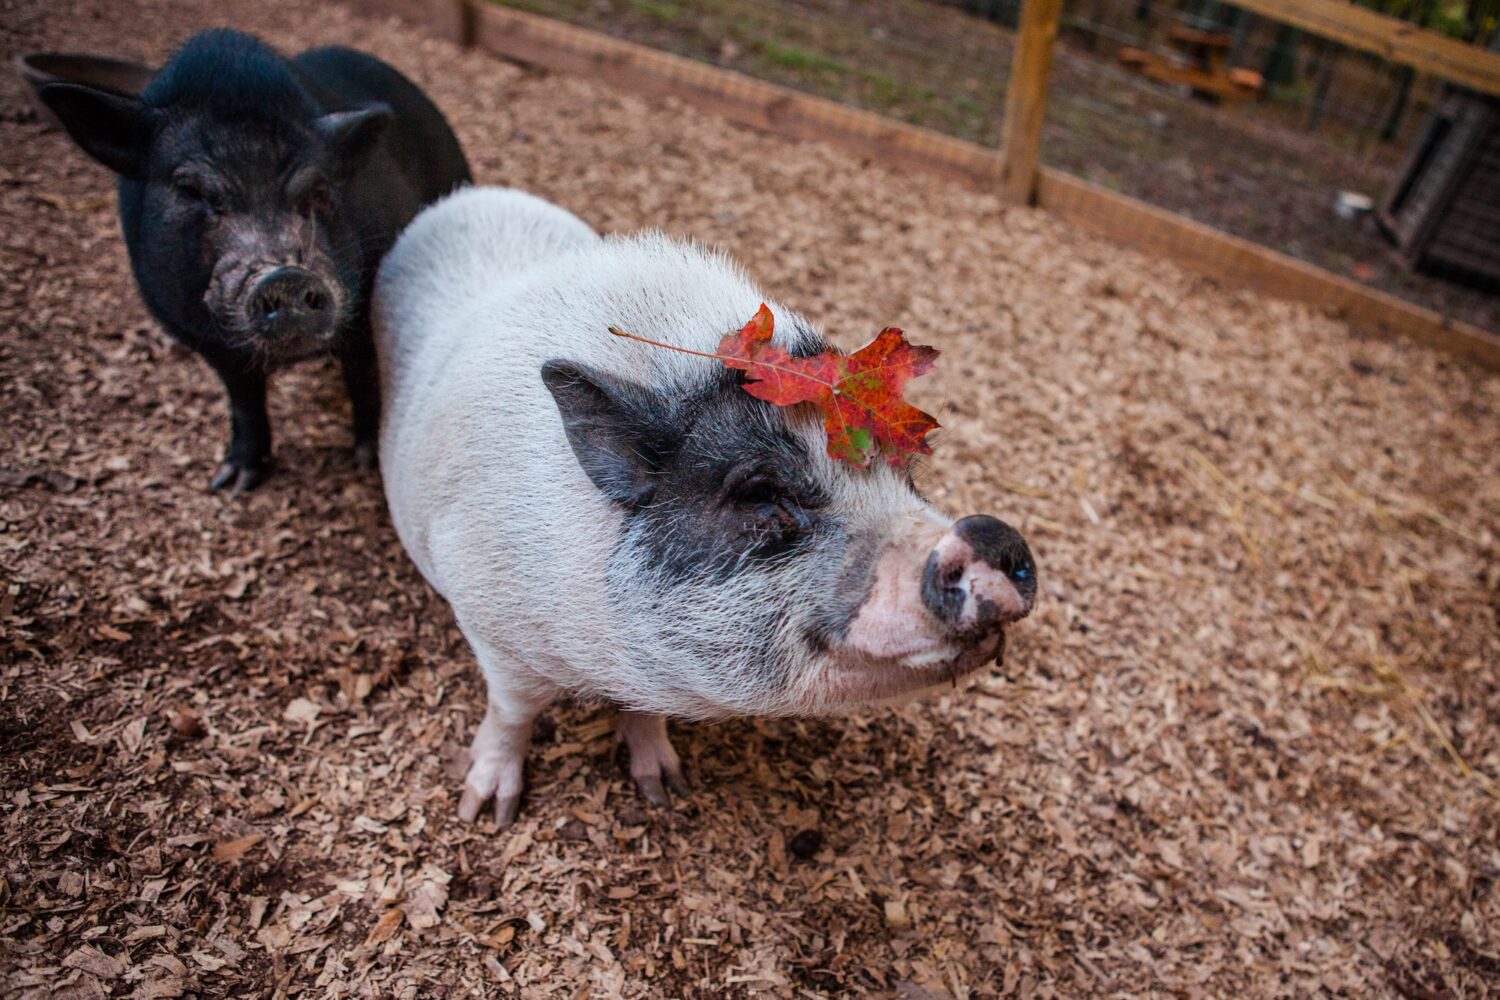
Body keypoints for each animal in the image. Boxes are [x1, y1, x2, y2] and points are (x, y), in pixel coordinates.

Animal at [39, 33, 468, 494]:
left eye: (319, 189)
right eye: (190, 190)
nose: (286, 276)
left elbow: (364, 380)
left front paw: (367, 461)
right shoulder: (199, 335)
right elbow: (243, 399)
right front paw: (231, 482)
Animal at [370, 183, 1038, 827]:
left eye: (907, 477)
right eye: (761, 493)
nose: (992, 535)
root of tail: (468, 196)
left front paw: (666, 792)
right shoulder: (486, 614)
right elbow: (513, 711)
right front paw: (486, 814)